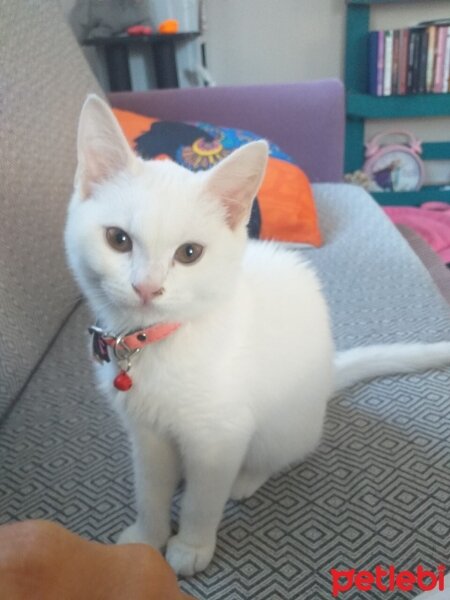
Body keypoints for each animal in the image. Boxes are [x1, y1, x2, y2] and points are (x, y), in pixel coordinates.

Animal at [65, 95, 450, 576]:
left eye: (189, 253)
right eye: (118, 240)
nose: (147, 287)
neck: (157, 345)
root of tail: (327, 376)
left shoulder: (220, 435)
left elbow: (203, 500)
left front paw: (190, 546)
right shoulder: (146, 434)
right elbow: (150, 487)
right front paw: (148, 537)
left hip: (282, 426)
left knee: (273, 454)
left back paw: (245, 479)